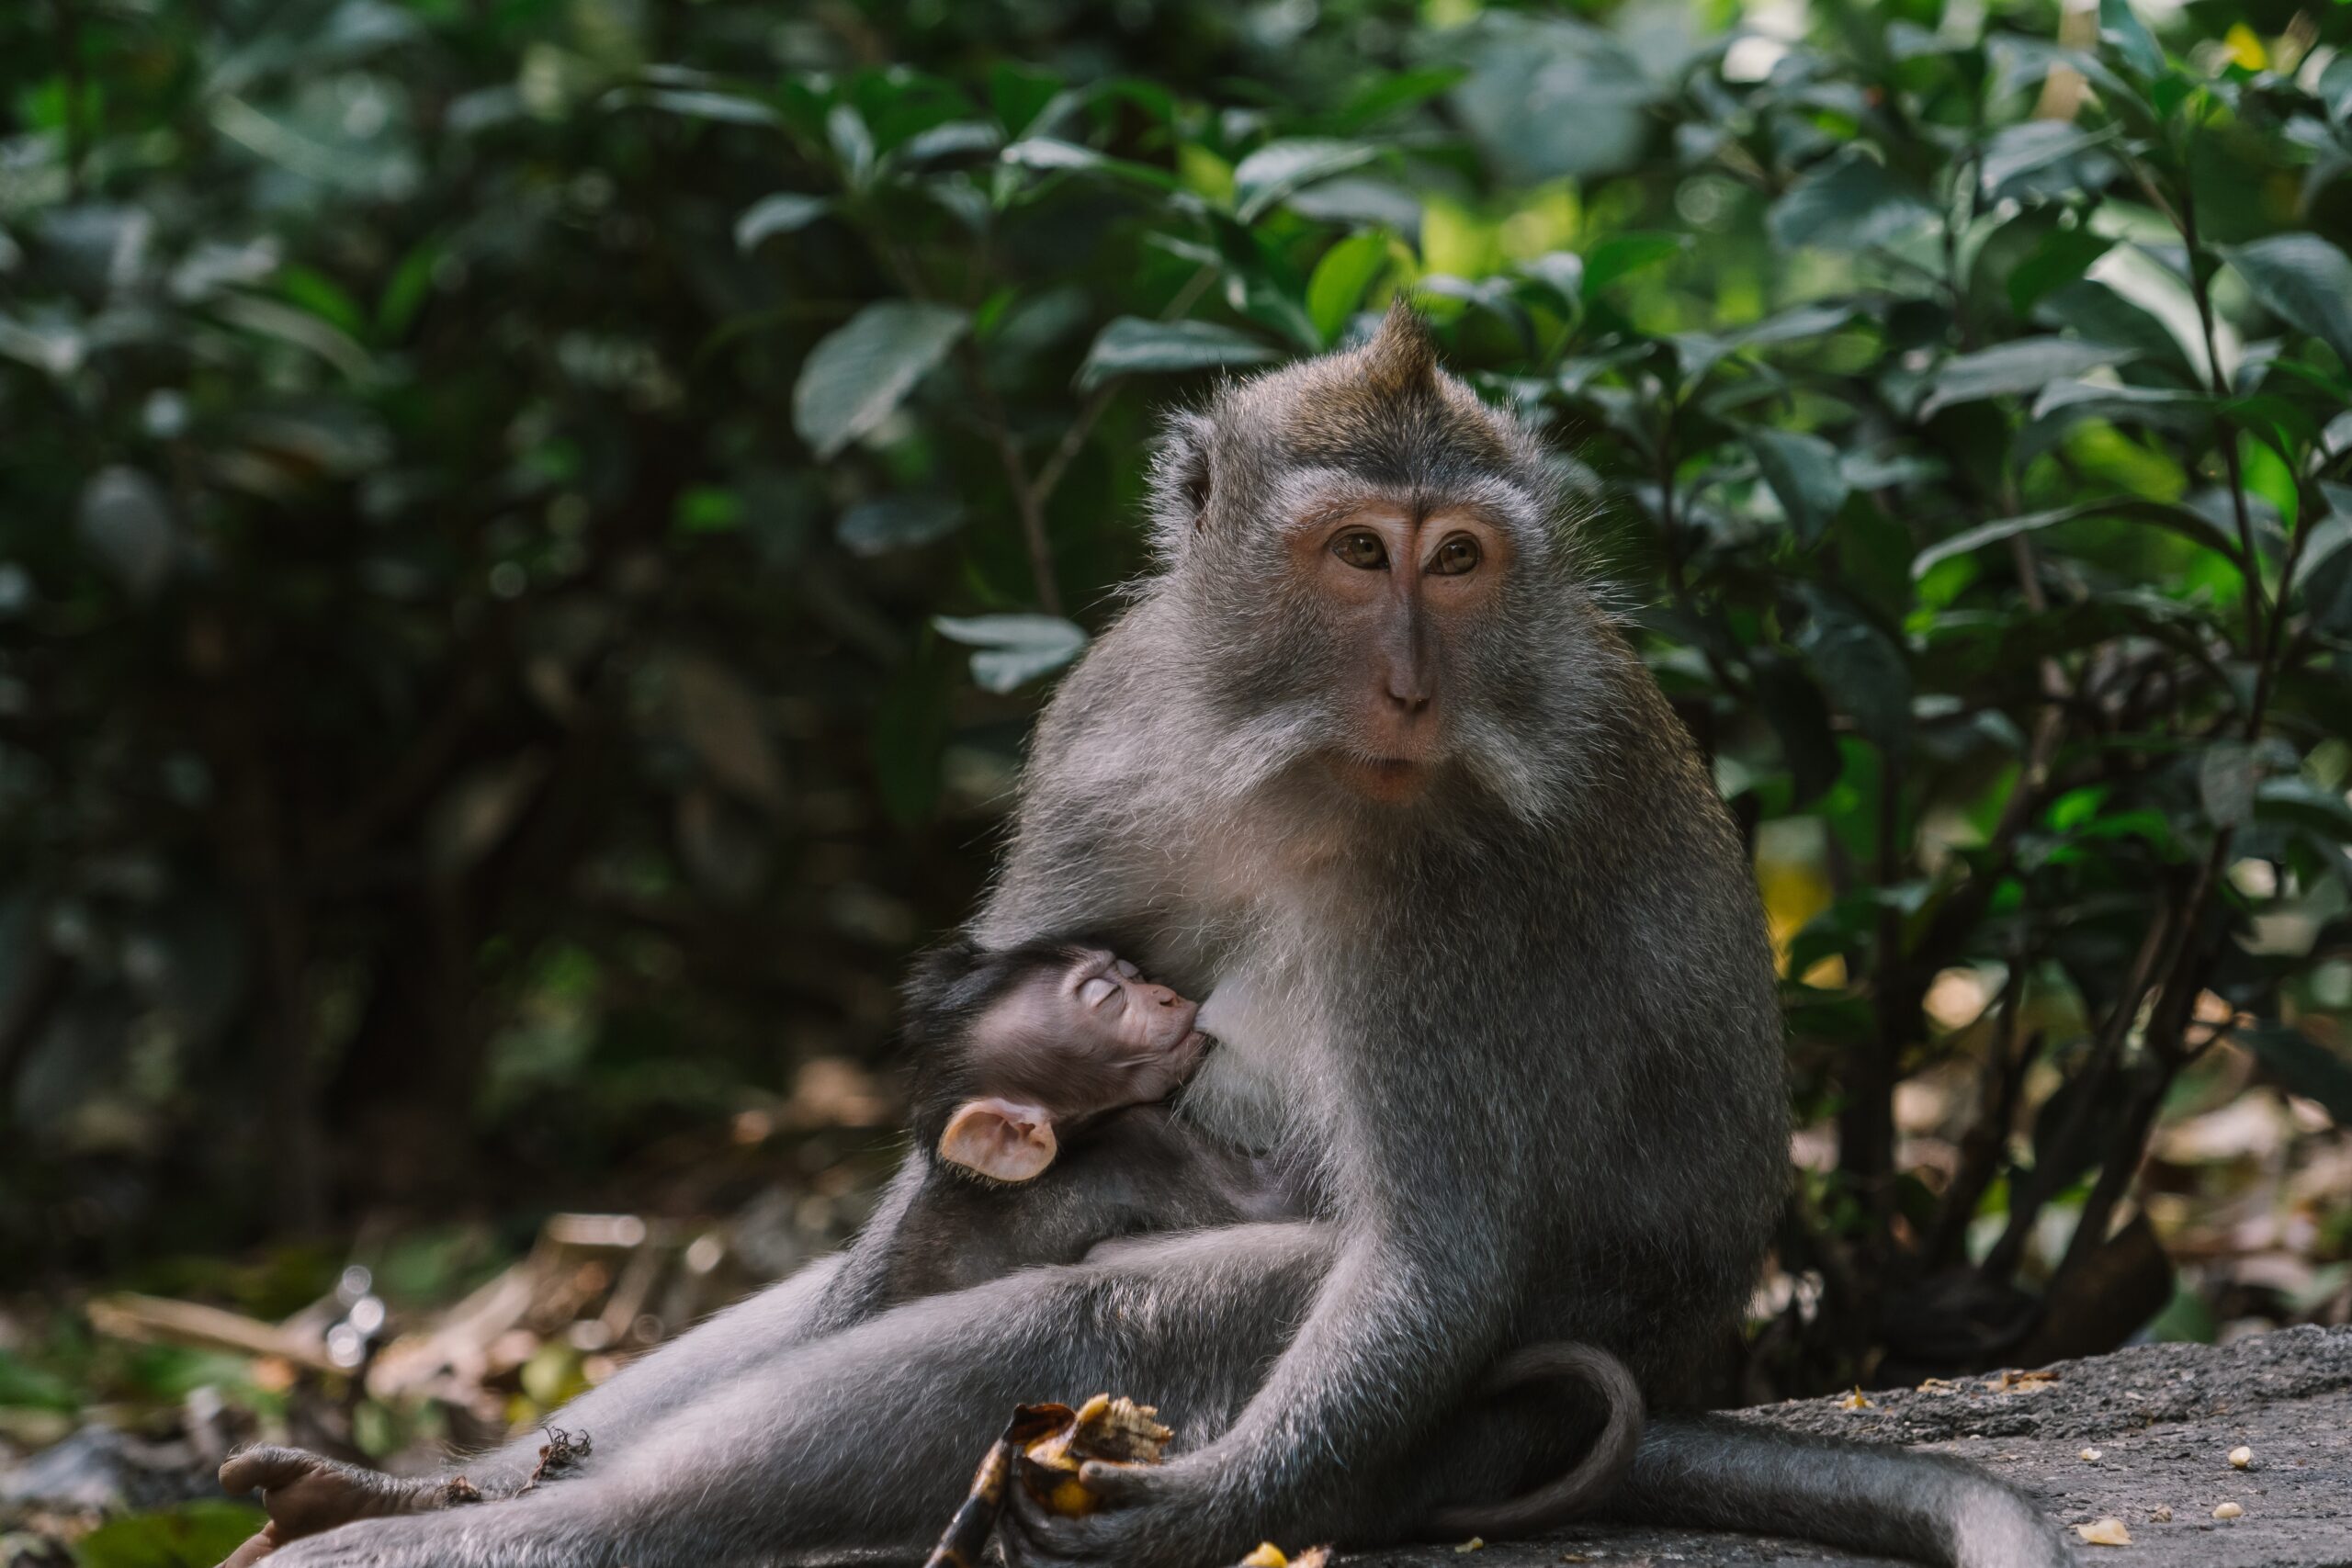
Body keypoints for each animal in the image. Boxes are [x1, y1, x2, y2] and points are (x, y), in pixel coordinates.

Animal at [253, 305, 2060, 1568]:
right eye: (1358, 552)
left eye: (1461, 560)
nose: (1412, 684)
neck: (1293, 749)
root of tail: (1679, 1377)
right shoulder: (1108, 722)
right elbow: (927, 1178)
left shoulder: (1457, 889)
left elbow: (1434, 1252)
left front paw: (1210, 1506)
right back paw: (425, 1484)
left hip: (1458, 1403)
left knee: (1095, 1318)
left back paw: (494, 1530)